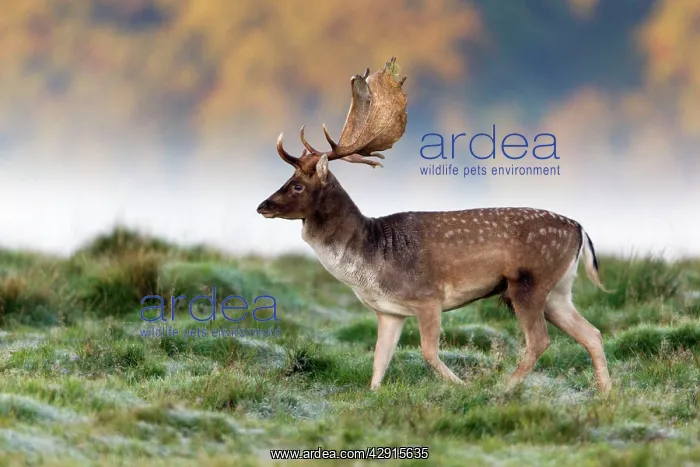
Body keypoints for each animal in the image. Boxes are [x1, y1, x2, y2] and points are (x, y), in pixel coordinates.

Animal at [256, 57, 612, 395]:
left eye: (297, 185)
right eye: (287, 179)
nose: (262, 206)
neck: (370, 260)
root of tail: (580, 229)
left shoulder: (429, 297)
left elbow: (428, 353)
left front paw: (462, 386)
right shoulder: (390, 311)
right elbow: (379, 362)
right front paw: (373, 395)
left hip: (529, 283)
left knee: (540, 340)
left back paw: (502, 387)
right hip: (559, 290)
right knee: (592, 333)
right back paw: (606, 393)